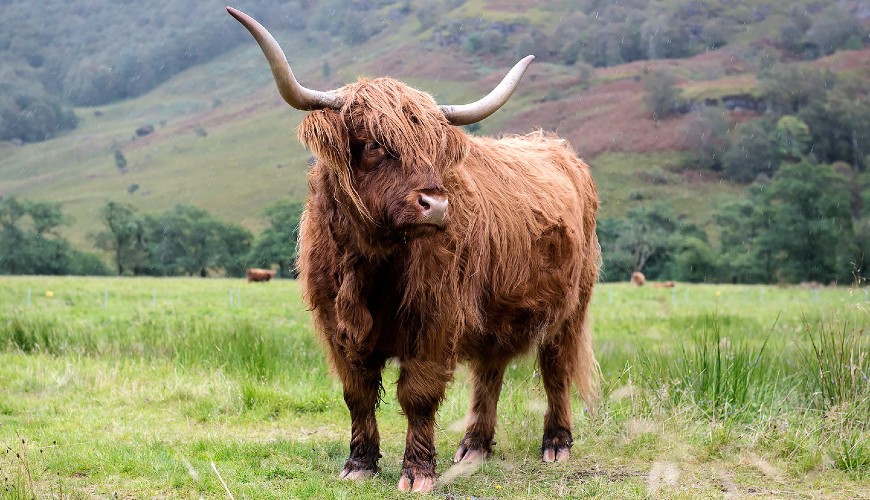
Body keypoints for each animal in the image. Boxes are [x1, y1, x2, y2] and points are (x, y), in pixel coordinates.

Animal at [228, 7, 601, 493]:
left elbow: (417, 394)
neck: (370, 264)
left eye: (436, 150)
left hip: (571, 309)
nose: (436, 204)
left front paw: (418, 472)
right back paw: (474, 446)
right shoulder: (335, 325)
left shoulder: (435, 320)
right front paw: (359, 463)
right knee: (490, 374)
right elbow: (357, 394)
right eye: (373, 144)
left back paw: (556, 444)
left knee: (556, 370)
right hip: (495, 312)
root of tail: (554, 145)